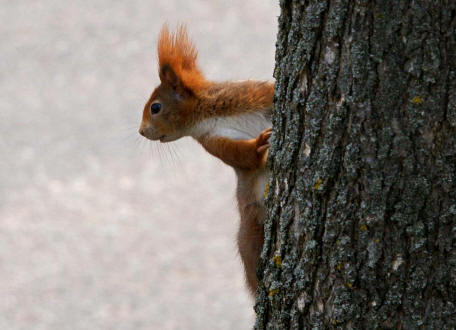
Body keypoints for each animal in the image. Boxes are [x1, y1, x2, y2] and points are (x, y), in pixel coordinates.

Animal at [139, 25, 272, 294]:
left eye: (155, 108)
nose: (141, 131)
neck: (205, 113)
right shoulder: (214, 140)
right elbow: (242, 157)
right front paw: (260, 144)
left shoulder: (250, 95)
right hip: (249, 227)